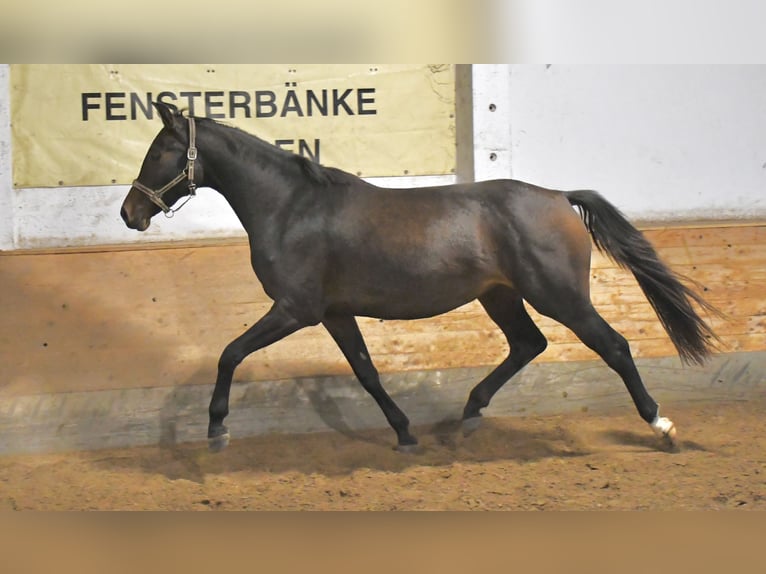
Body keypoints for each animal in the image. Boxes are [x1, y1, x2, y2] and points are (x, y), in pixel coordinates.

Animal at [118, 102, 720, 454]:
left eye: (161, 151)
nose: (130, 212)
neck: (291, 207)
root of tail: (557, 196)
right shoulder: (334, 313)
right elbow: (366, 372)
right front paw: (405, 433)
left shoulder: (296, 310)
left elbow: (229, 354)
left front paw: (216, 429)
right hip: (502, 297)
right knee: (529, 344)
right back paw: (466, 418)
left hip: (559, 296)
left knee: (614, 346)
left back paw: (661, 427)